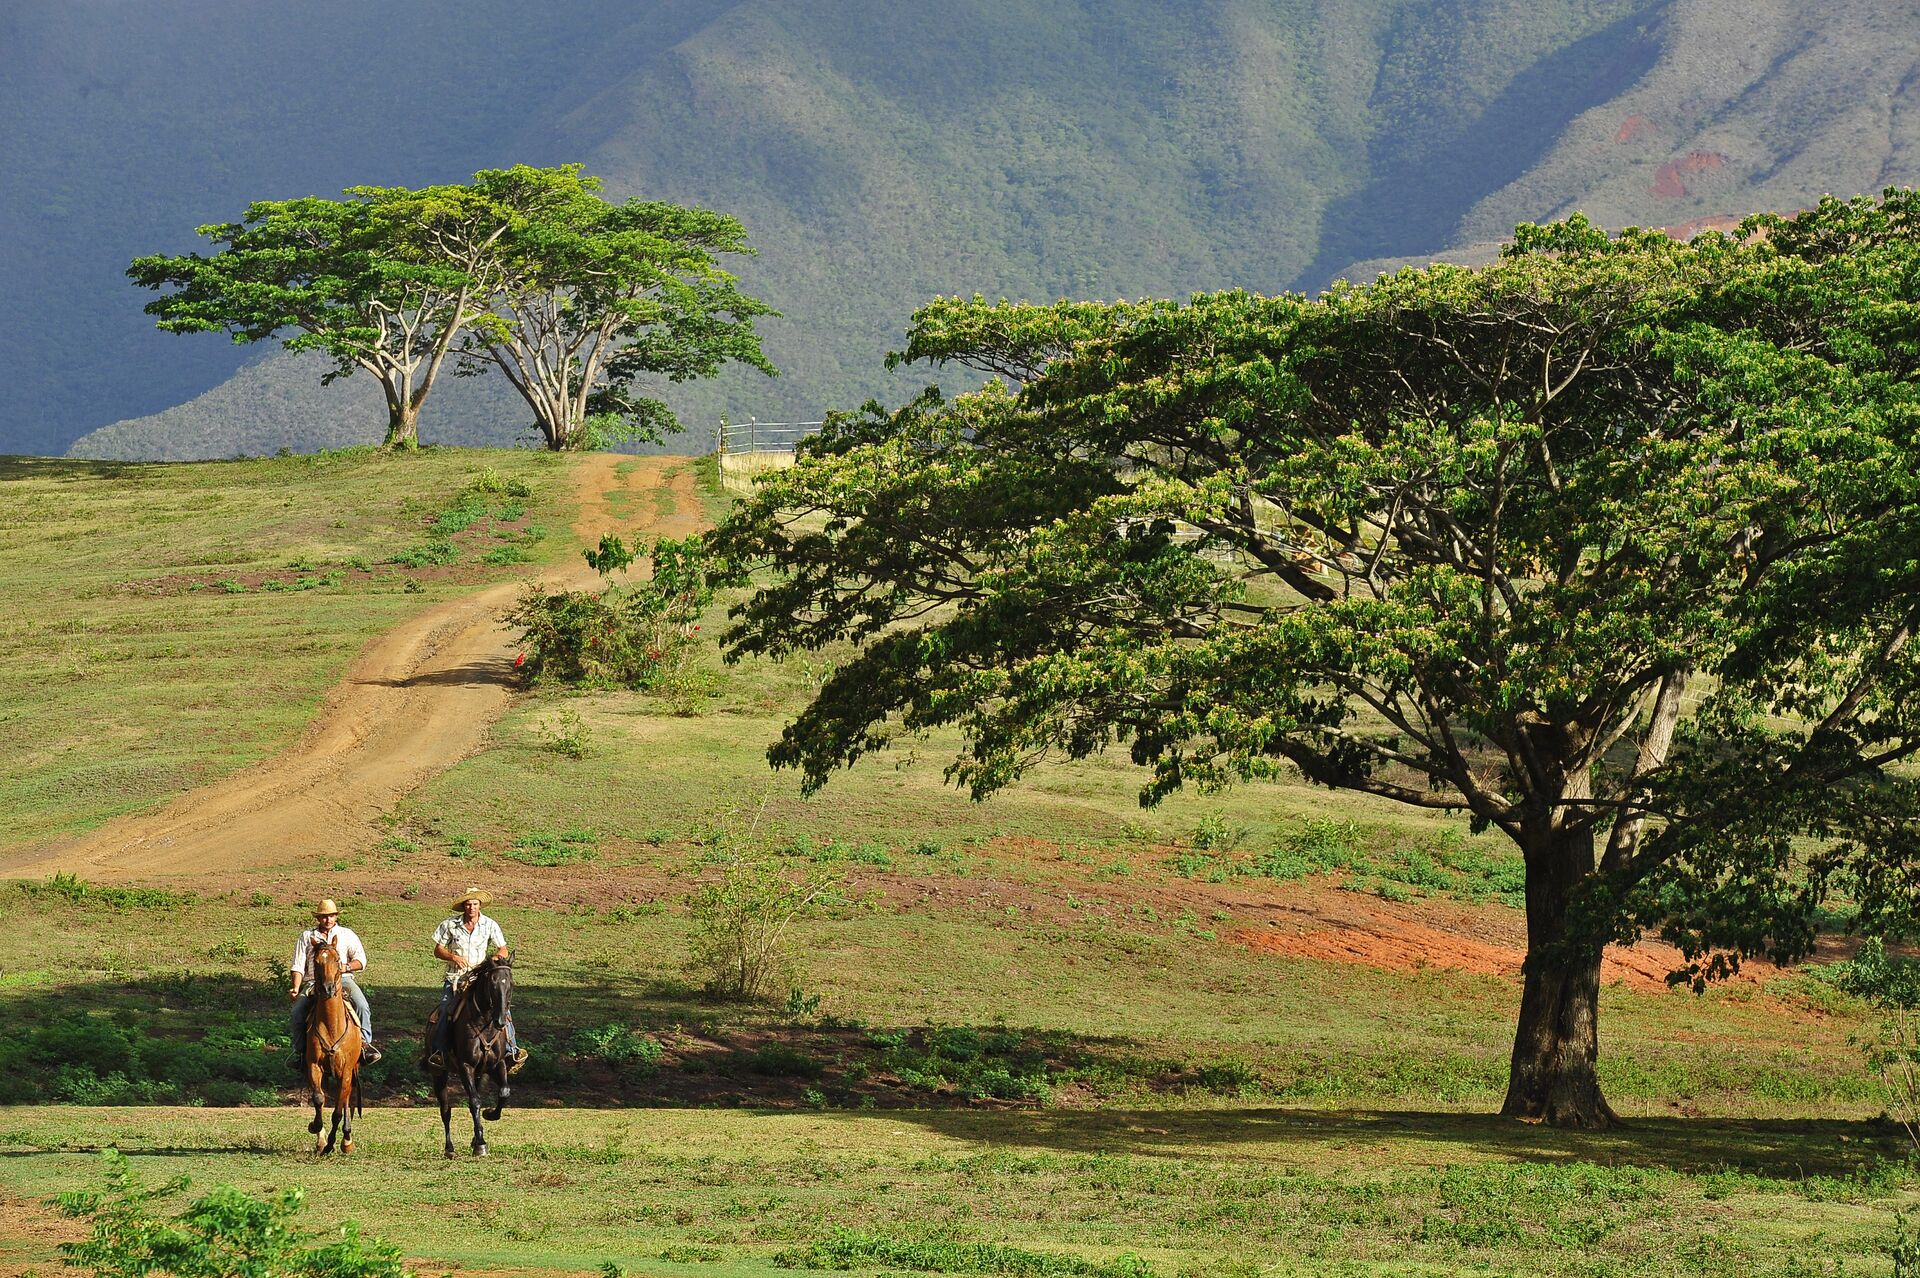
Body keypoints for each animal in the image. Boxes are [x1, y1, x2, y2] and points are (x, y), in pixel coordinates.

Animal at [301, 936, 360, 1151]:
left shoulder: (346, 1070)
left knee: (346, 1099)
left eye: (337, 959)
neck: (332, 1026)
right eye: (316, 961)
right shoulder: (313, 1065)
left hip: (352, 1070)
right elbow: (318, 1098)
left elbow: (337, 1111)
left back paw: (346, 1140)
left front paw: (331, 1144)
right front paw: (317, 1129)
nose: (327, 989)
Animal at [426, 955, 514, 1151]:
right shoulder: (465, 1066)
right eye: (492, 982)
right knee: (445, 1109)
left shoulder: (496, 1065)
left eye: (511, 983)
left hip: (481, 1074)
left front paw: (490, 1114)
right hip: (439, 1073)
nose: (500, 1021)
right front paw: (480, 1142)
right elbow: (474, 1101)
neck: (485, 1026)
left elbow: (504, 1092)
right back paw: (449, 1148)